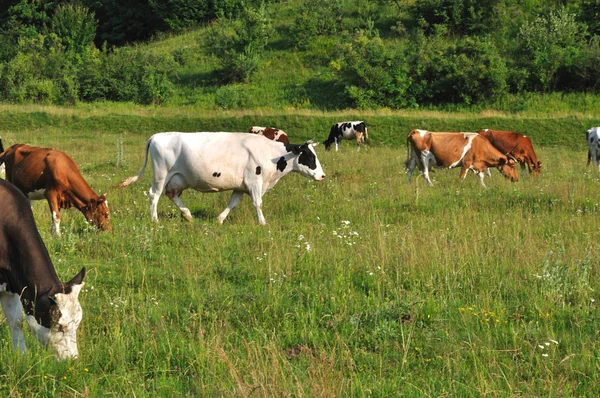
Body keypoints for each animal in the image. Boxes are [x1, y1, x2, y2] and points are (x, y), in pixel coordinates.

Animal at [0, 179, 86, 360]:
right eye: (59, 326)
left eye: (78, 322)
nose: (72, 359)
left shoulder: (12, 285)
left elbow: (17, 321)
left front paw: (22, 356)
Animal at [116, 131, 324, 224]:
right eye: (309, 156)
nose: (322, 175)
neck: (270, 153)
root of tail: (156, 136)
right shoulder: (254, 181)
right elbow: (258, 203)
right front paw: (263, 223)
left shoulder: (241, 186)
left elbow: (232, 203)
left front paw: (219, 219)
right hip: (160, 174)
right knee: (154, 195)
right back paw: (155, 220)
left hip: (177, 179)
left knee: (172, 194)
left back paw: (188, 215)